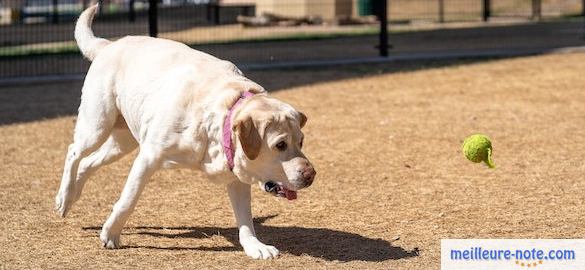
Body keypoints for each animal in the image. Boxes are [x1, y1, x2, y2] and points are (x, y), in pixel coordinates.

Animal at [56, 4, 314, 260]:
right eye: (280, 145)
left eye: (301, 142)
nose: (311, 175)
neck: (220, 113)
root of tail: (109, 45)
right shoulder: (148, 157)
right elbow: (128, 199)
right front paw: (111, 234)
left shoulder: (236, 175)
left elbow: (245, 219)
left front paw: (255, 246)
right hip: (97, 125)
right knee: (73, 152)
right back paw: (64, 197)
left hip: (122, 142)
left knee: (88, 162)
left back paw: (72, 196)